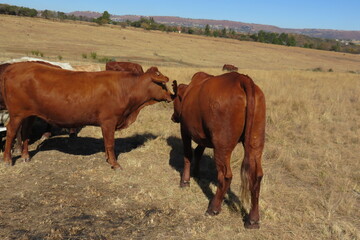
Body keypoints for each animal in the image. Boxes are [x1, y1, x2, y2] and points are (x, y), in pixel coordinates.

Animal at [0, 62, 173, 170]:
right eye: (162, 84)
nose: (172, 95)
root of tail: (13, 68)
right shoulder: (109, 121)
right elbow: (110, 144)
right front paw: (115, 164)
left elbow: (106, 143)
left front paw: (108, 159)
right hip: (16, 114)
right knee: (11, 132)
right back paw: (8, 159)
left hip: (29, 114)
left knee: (25, 133)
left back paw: (25, 156)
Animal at [170, 71, 266, 229]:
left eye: (174, 102)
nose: (173, 117)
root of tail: (241, 78)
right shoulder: (204, 135)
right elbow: (198, 152)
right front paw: (196, 174)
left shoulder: (185, 129)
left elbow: (188, 155)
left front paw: (185, 181)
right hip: (255, 143)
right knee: (256, 176)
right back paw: (253, 219)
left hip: (222, 146)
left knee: (225, 176)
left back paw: (213, 207)